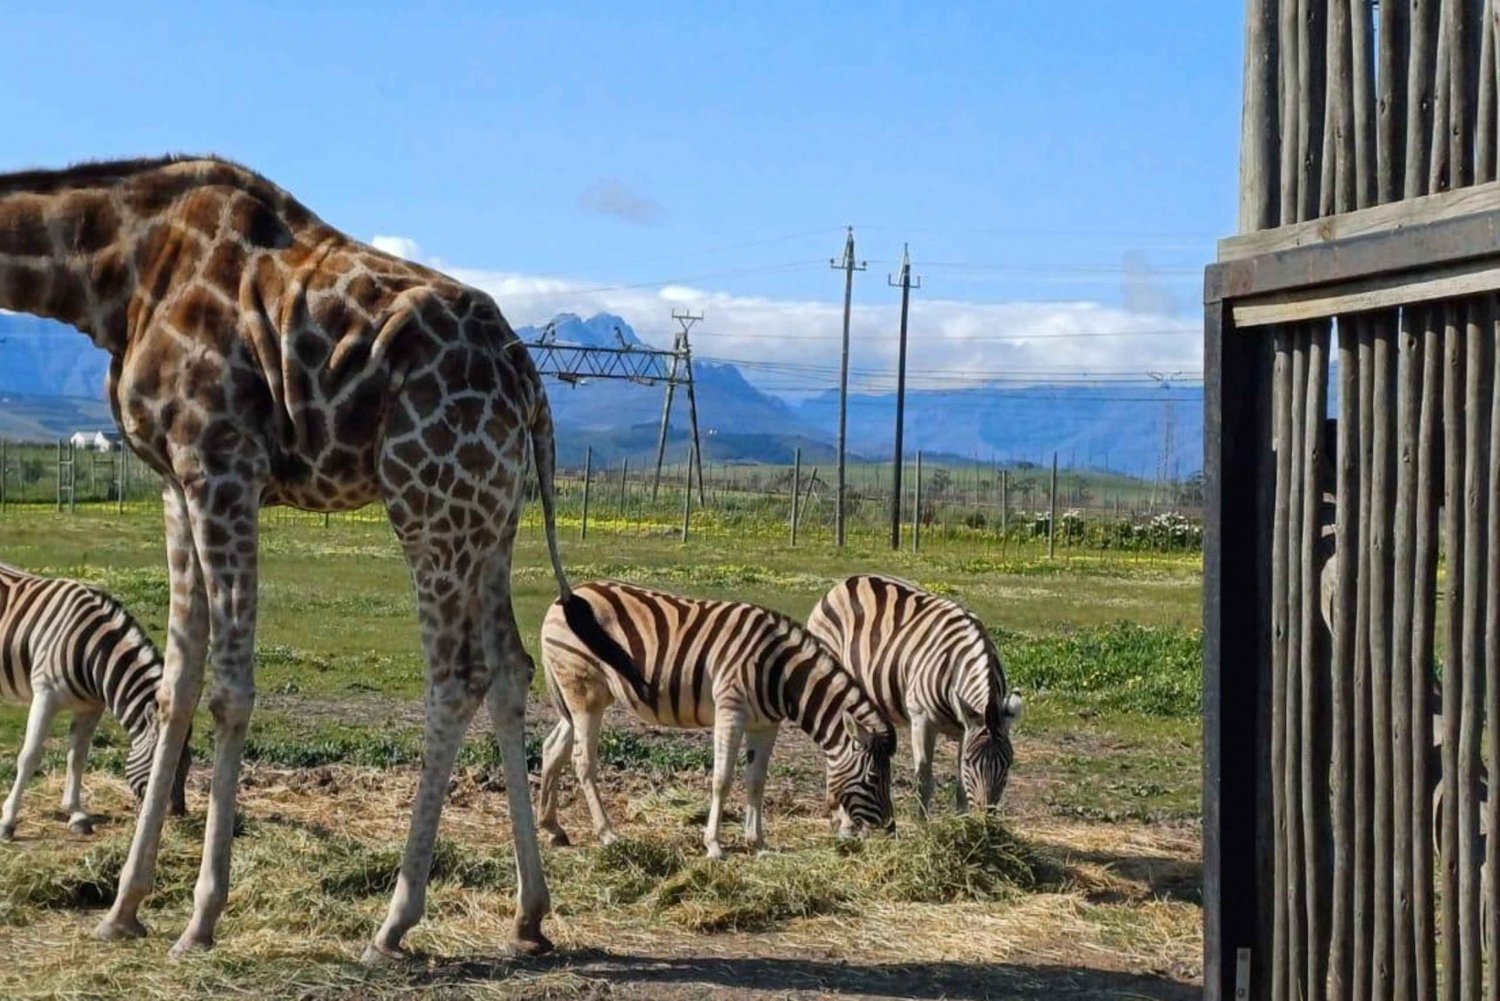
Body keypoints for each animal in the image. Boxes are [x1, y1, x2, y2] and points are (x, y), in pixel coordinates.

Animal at [0, 564, 187, 840]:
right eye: (160, 765)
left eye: (188, 763)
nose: (177, 815)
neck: (94, 652)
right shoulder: (45, 695)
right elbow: (29, 756)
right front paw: (8, 821)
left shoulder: (91, 707)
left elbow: (77, 757)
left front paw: (76, 814)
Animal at [537, 582, 894, 858]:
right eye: (874, 777)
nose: (890, 830)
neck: (782, 674)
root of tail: (563, 598)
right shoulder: (730, 711)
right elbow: (722, 779)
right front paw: (714, 845)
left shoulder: (766, 724)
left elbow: (756, 780)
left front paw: (758, 843)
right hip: (583, 694)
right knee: (583, 761)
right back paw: (607, 834)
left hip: (584, 699)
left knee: (553, 749)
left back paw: (552, 828)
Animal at [810, 576, 1020, 816]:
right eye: (970, 762)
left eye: (1009, 763)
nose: (986, 816)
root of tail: (847, 581)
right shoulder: (922, 720)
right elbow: (924, 781)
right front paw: (922, 823)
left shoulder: (963, 729)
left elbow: (960, 787)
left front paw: (963, 821)